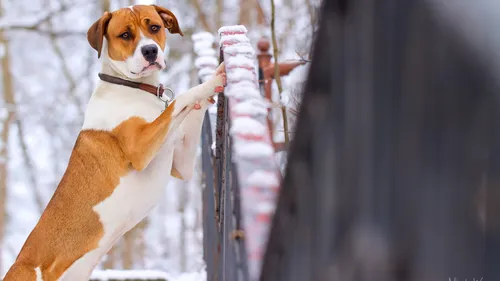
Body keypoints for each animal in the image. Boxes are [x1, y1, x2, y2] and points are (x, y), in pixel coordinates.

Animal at [1, 4, 225, 280]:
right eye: (125, 35)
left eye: (155, 27)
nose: (150, 51)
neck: (133, 86)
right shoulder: (140, 148)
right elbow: (179, 100)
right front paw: (213, 82)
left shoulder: (180, 164)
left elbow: (187, 112)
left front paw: (214, 79)